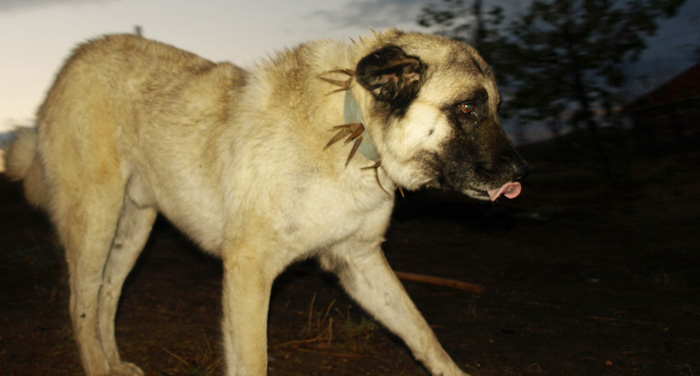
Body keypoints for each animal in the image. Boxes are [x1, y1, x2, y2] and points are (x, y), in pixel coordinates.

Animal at [5, 30, 528, 376]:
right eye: (468, 107)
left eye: (498, 107)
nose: (521, 175)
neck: (350, 129)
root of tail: (73, 60)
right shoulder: (249, 272)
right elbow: (253, 360)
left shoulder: (358, 260)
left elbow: (422, 332)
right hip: (96, 218)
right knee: (81, 302)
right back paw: (97, 365)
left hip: (133, 228)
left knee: (107, 297)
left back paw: (114, 363)